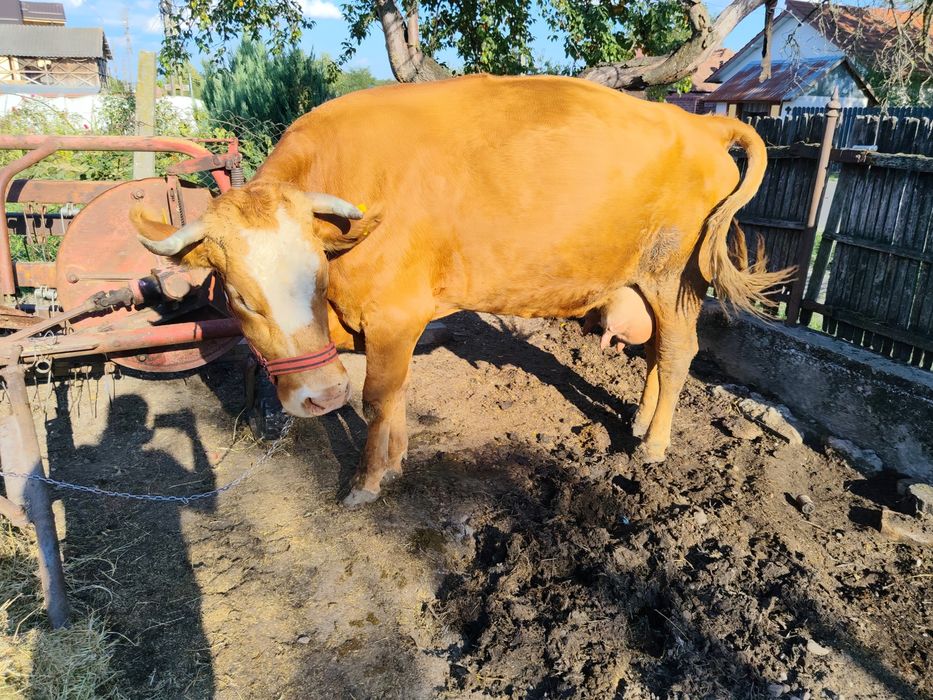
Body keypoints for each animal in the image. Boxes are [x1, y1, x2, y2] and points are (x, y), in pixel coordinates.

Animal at [132, 74, 788, 507]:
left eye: (316, 273)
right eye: (240, 297)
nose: (319, 397)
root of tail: (697, 122)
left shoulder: (395, 313)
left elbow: (377, 399)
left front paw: (366, 482)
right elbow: (395, 395)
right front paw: (395, 463)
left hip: (675, 276)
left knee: (677, 354)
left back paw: (653, 444)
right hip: (644, 281)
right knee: (655, 354)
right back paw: (638, 420)